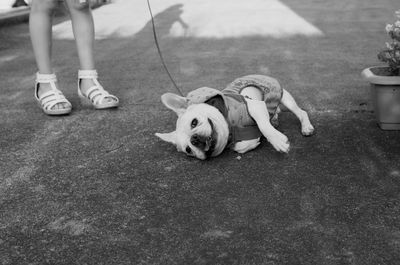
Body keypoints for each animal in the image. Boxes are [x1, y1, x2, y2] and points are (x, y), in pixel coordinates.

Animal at [155, 73, 314, 159]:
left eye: (194, 122)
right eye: (188, 150)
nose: (194, 139)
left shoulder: (254, 105)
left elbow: (263, 126)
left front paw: (277, 141)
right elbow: (239, 147)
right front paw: (252, 142)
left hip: (284, 98)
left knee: (301, 112)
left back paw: (306, 127)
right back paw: (274, 118)